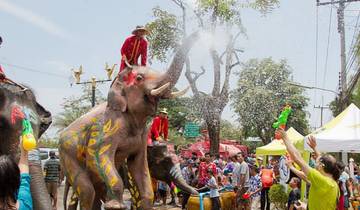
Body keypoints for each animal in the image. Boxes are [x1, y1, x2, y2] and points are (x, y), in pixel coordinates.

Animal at [59, 32, 200, 210]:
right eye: (139, 78)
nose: (198, 33)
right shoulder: (109, 125)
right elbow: (97, 156)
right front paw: (116, 206)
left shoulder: (142, 139)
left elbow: (140, 168)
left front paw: (145, 202)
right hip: (67, 156)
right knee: (86, 191)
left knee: (95, 191)